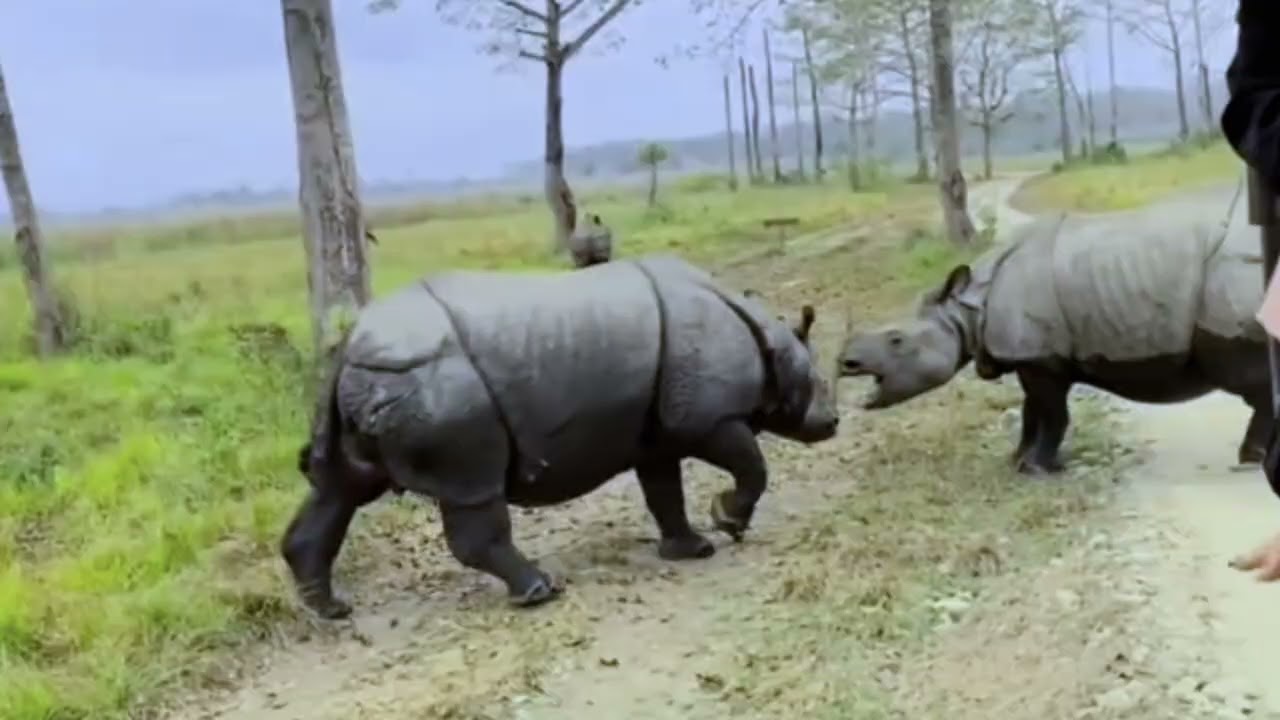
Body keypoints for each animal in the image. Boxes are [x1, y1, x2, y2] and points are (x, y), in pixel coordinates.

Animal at [282, 253, 840, 619]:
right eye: (815, 384)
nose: (832, 424)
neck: (768, 339)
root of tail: (351, 344)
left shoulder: (657, 431)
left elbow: (664, 491)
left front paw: (692, 549)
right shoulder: (709, 418)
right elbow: (751, 465)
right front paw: (728, 523)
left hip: (379, 381)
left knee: (340, 488)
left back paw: (329, 609)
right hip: (434, 383)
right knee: (472, 485)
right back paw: (539, 592)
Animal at [837, 197, 1268, 475]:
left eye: (896, 340)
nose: (846, 363)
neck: (966, 309)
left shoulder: (1039, 358)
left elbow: (1052, 413)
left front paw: (1035, 469)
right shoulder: (1031, 355)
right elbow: (1033, 412)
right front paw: (1017, 462)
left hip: (1235, 282)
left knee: (1243, 374)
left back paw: (1250, 459)